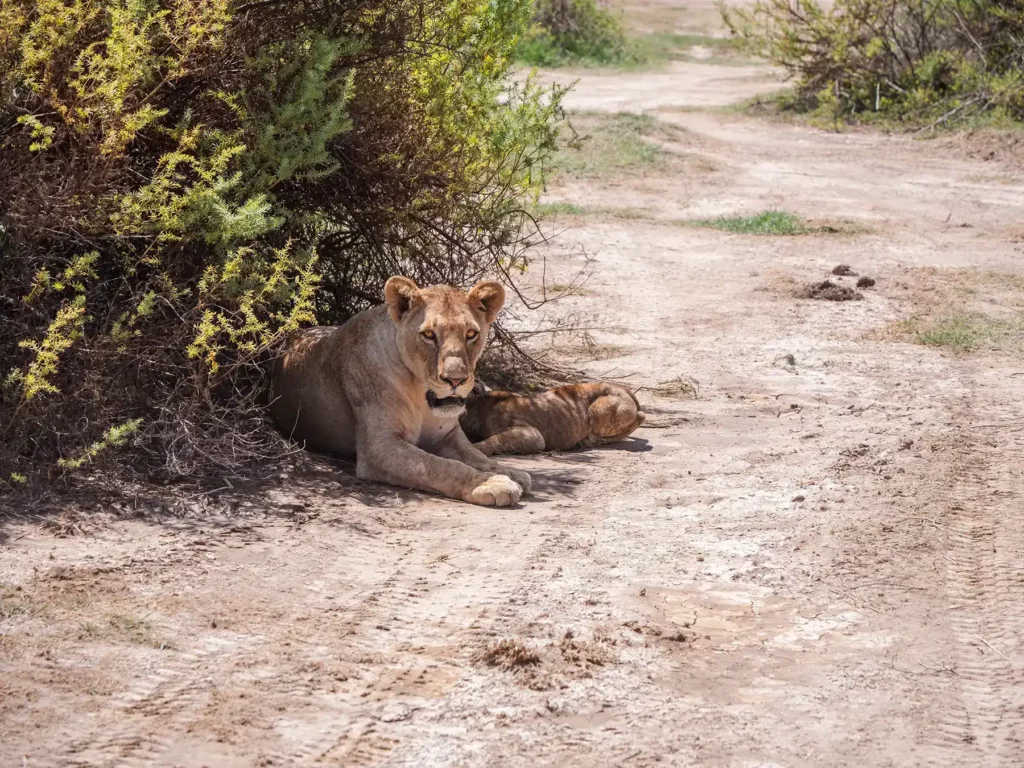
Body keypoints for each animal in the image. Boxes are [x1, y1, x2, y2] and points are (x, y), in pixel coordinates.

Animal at [269, 276, 531, 507]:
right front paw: (491, 484)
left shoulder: (448, 436)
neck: (420, 394)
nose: (456, 379)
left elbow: (478, 457)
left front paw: (509, 472)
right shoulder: (379, 447)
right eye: (429, 334)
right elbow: (438, 466)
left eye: (471, 334)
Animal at [460, 382, 646, 456]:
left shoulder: (532, 435)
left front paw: (475, 448)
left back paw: (587, 441)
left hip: (598, 409)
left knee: (639, 418)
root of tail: (625, 388)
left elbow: (497, 439)